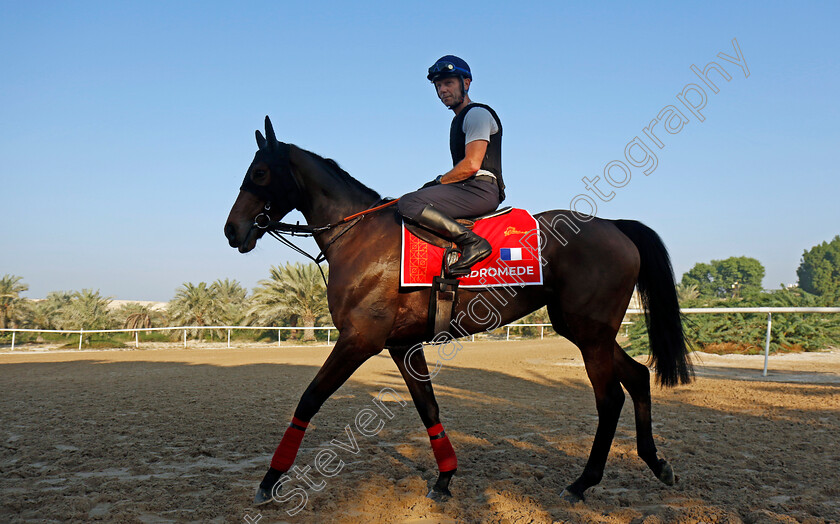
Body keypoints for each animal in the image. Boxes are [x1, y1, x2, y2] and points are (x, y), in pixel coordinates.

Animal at [225, 116, 696, 506]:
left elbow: (309, 400)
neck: (360, 234)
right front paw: (445, 478)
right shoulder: (403, 347)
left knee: (610, 397)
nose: (232, 230)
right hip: (585, 330)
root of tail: (614, 226)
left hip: (589, 334)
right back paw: (656, 464)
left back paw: (583, 483)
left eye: (259, 173)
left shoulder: (359, 340)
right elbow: (429, 409)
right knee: (637, 376)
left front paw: (269, 481)